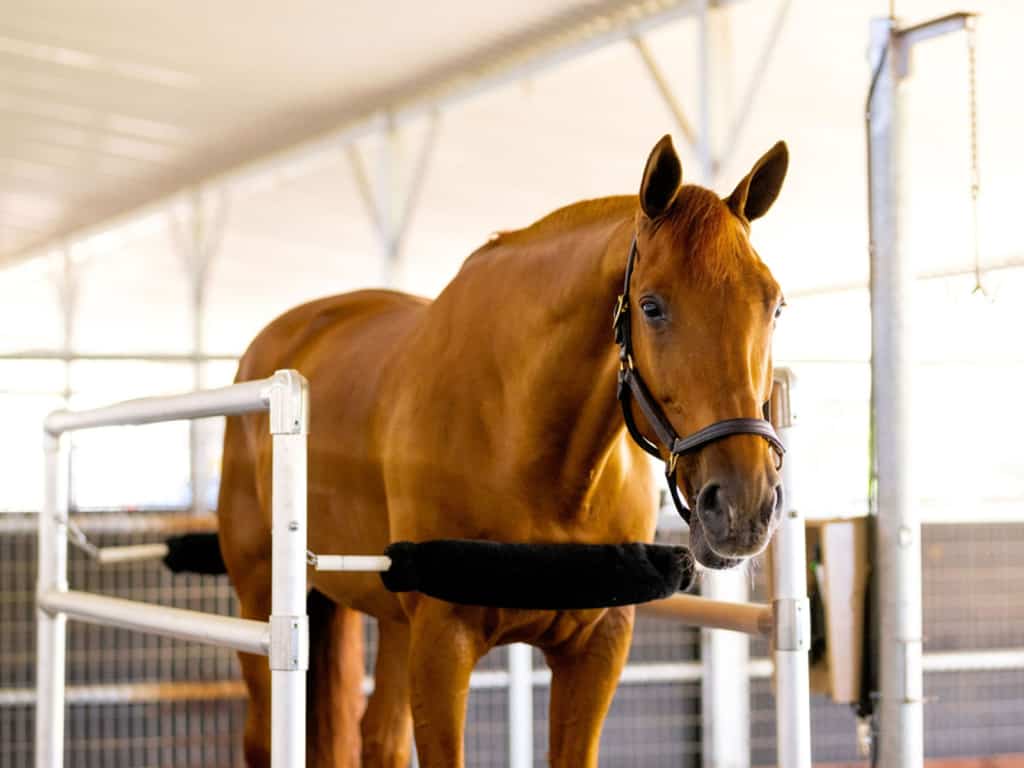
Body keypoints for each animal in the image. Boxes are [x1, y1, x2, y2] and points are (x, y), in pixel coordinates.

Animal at [216, 134, 789, 767]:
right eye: (650, 306)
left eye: (774, 304)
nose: (743, 505)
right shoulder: (442, 643)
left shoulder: (599, 645)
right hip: (261, 597)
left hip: (390, 619)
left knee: (379, 737)